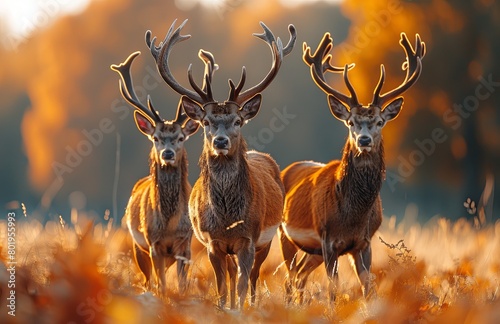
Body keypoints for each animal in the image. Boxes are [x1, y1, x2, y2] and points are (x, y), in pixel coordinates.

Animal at [109, 49, 203, 294]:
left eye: (180, 138)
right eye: (156, 138)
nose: (167, 154)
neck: (169, 226)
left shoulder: (185, 243)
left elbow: (182, 284)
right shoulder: (153, 243)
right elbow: (161, 285)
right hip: (137, 247)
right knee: (147, 281)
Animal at [144, 20, 292, 308]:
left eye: (238, 120)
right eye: (206, 122)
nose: (221, 141)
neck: (227, 219)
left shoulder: (249, 238)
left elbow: (244, 283)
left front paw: (242, 310)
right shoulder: (213, 242)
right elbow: (222, 286)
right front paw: (226, 309)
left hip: (267, 240)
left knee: (254, 277)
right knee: (233, 275)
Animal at [280, 31, 424, 302]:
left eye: (379, 121)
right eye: (350, 122)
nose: (364, 140)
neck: (352, 216)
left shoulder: (364, 243)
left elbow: (369, 290)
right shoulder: (328, 241)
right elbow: (333, 291)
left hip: (312, 251)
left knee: (298, 276)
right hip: (284, 234)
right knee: (288, 278)